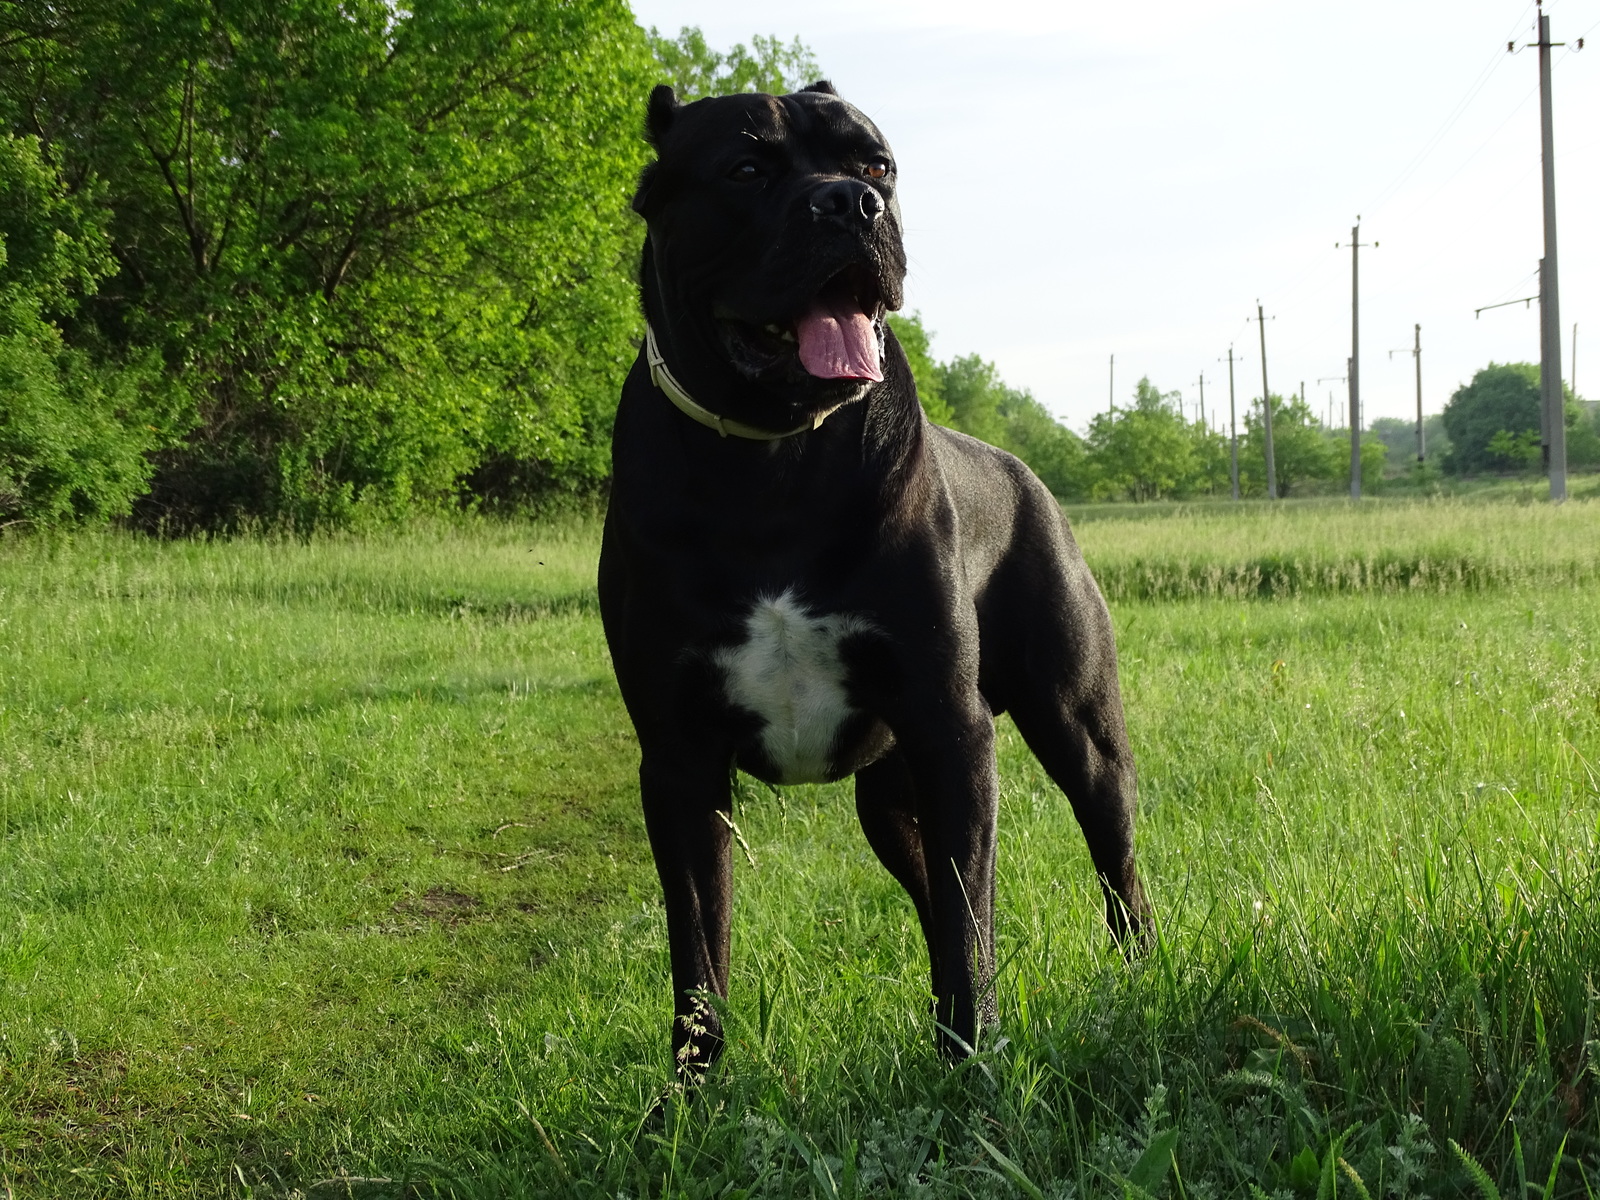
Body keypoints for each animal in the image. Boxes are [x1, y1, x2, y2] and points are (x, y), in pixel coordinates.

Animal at [601, 84, 1152, 1081]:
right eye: (745, 167)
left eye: (878, 165)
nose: (851, 204)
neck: (773, 458)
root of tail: (1028, 475)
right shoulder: (678, 760)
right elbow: (698, 953)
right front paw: (688, 1100)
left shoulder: (951, 728)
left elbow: (970, 917)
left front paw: (975, 1066)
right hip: (892, 798)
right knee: (938, 895)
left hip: (1077, 735)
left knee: (1112, 868)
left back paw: (1136, 978)